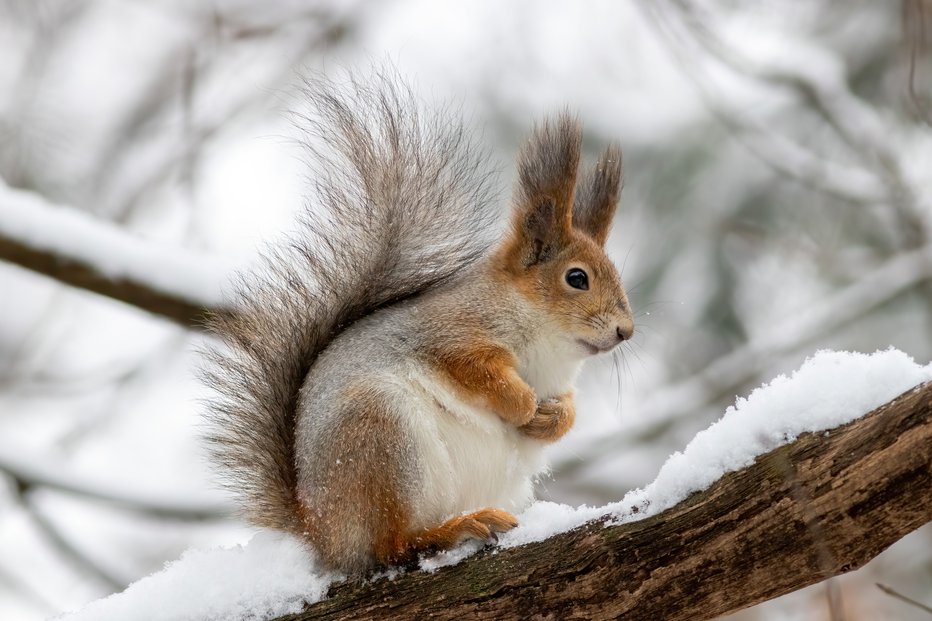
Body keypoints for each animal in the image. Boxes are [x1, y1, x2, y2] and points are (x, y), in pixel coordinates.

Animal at [202, 75, 632, 572]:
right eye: (576, 278)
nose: (626, 331)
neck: (550, 348)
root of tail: (323, 533)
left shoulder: (558, 381)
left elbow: (567, 408)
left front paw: (551, 420)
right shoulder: (450, 333)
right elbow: (478, 371)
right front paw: (523, 405)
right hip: (383, 440)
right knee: (393, 545)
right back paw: (456, 528)